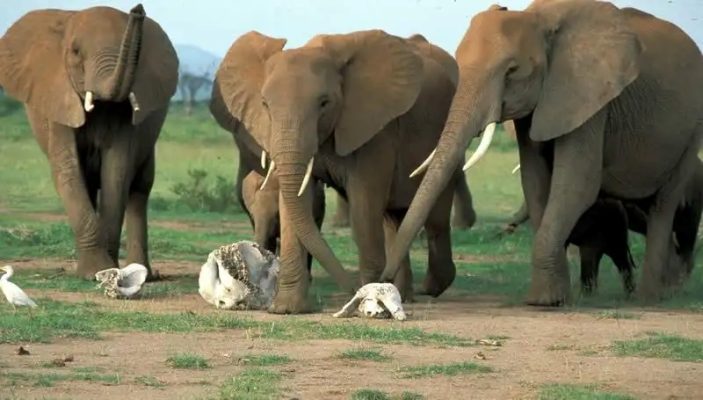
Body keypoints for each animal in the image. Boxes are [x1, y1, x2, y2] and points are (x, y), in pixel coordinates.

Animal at [0, 5, 178, 278]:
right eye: (75, 51)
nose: (138, 9)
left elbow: (117, 171)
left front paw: (107, 271)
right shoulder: (58, 99)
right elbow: (68, 170)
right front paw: (95, 271)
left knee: (140, 188)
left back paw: (144, 274)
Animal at [211, 30, 468, 312]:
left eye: (324, 103)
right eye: (265, 104)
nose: (352, 290)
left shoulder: (375, 128)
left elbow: (363, 206)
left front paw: (371, 303)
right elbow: (296, 203)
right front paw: (286, 310)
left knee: (434, 217)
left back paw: (428, 286)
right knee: (394, 220)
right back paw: (403, 294)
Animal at [380, 0, 703, 305]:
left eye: (511, 72)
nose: (383, 280)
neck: (538, 19)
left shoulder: (588, 97)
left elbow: (576, 185)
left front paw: (544, 301)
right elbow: (534, 181)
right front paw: (553, 297)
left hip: (690, 135)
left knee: (664, 205)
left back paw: (650, 297)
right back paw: (664, 289)